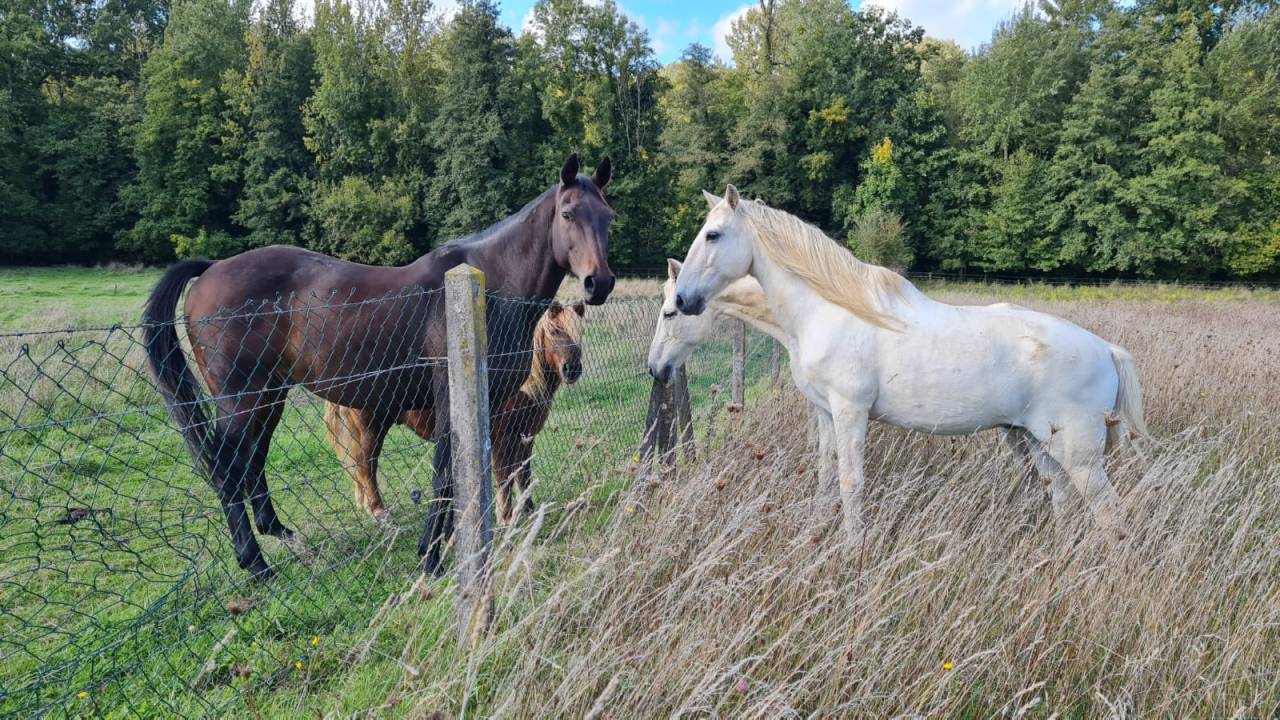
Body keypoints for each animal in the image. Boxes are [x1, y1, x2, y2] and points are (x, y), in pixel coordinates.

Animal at [325, 300, 585, 524]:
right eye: (555, 331)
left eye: (580, 333)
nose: (572, 370)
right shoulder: (502, 441)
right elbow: (504, 479)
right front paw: (507, 519)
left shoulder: (525, 438)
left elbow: (523, 475)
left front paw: (529, 510)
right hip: (372, 429)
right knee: (365, 465)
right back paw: (380, 512)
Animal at [671, 186, 1147, 544]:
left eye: (713, 235)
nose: (682, 299)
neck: (831, 311)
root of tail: (1105, 349)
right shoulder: (825, 413)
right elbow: (826, 474)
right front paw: (817, 531)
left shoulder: (850, 411)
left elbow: (851, 481)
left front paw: (852, 549)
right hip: (1037, 442)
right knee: (1063, 498)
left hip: (1080, 455)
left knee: (1111, 513)